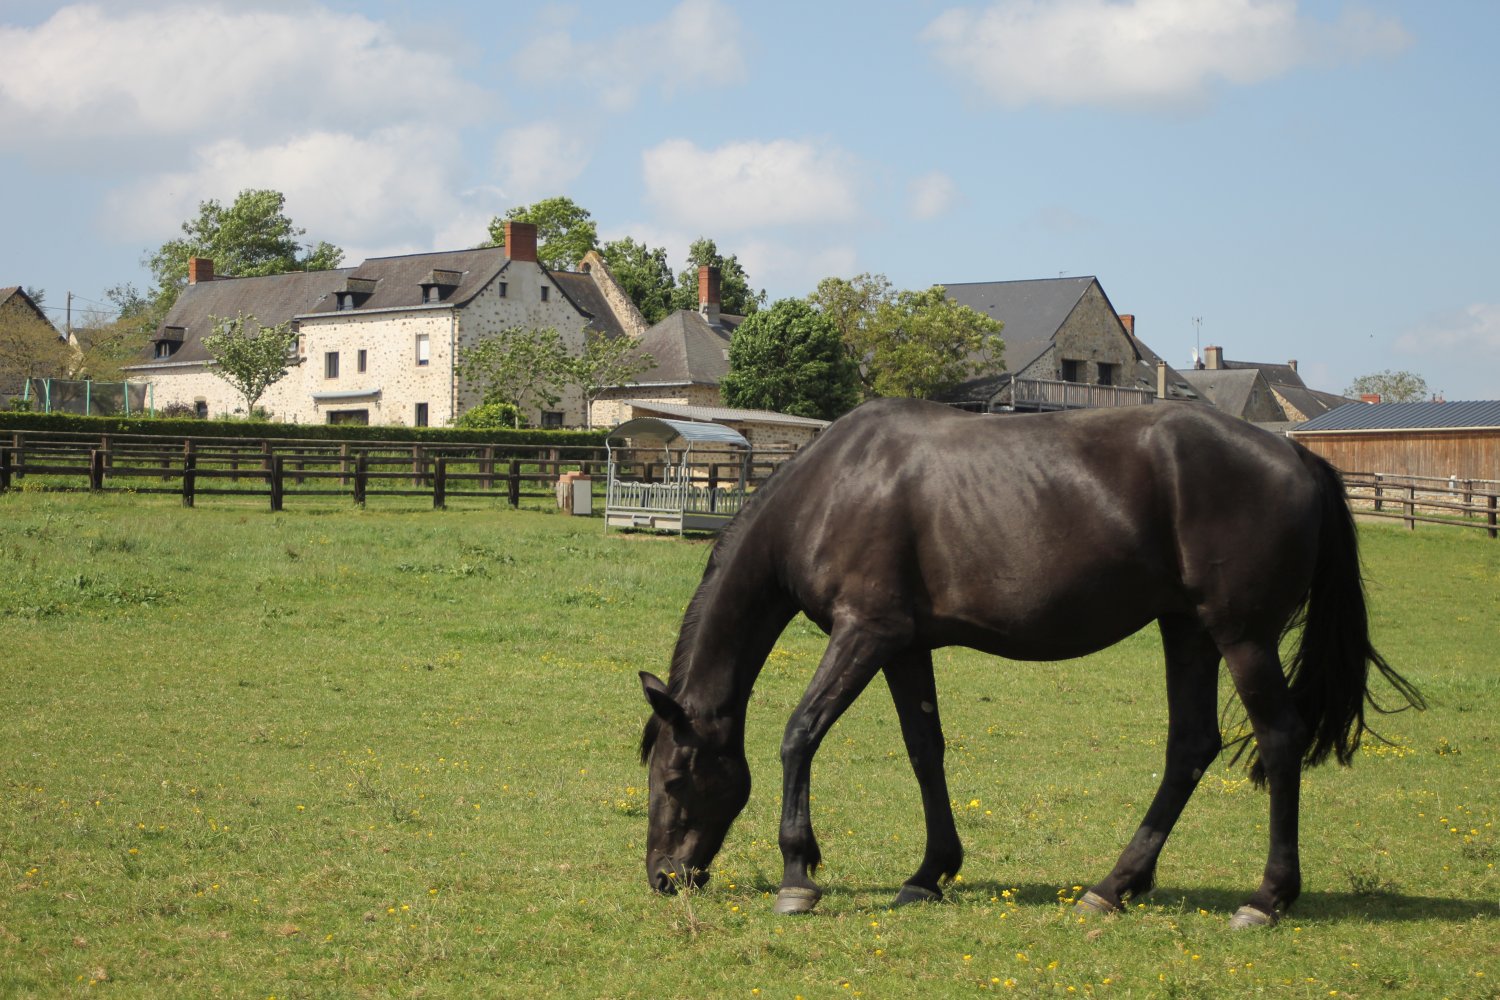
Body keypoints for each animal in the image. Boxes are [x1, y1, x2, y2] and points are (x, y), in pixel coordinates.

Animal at [638, 397, 1421, 928]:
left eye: (676, 779)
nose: (663, 878)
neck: (832, 489)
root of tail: (1299, 459)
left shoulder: (865, 635)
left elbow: (800, 733)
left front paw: (798, 874)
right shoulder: (905, 646)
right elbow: (925, 750)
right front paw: (931, 872)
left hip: (1242, 636)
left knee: (1280, 741)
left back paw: (1267, 897)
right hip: (1188, 631)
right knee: (1191, 747)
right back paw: (1114, 887)